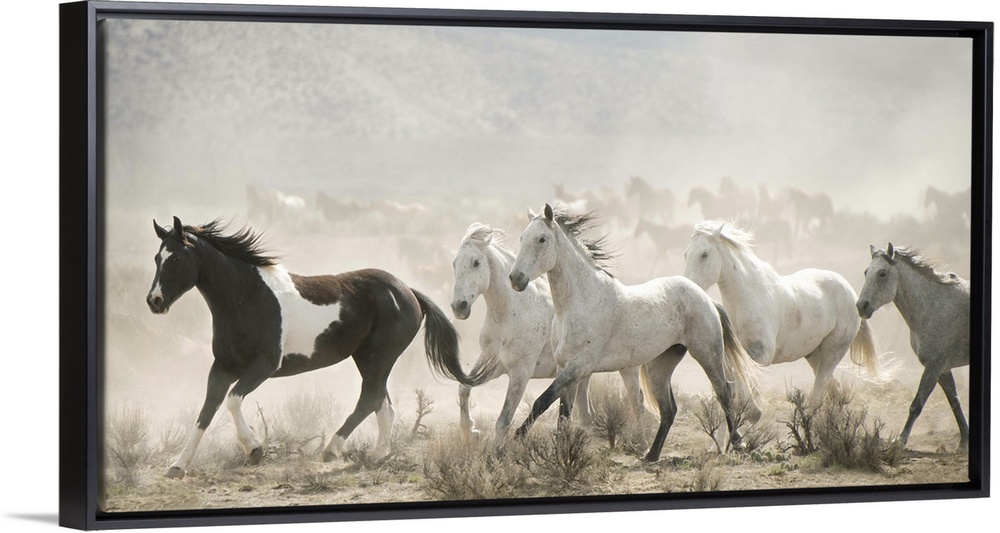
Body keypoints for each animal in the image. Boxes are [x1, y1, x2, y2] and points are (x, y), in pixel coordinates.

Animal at [147, 216, 492, 478]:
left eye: (176, 258)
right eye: (156, 258)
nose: (154, 301)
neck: (247, 297)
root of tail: (407, 291)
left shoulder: (264, 365)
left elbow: (232, 401)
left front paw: (254, 449)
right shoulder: (222, 367)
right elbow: (206, 412)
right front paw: (178, 466)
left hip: (381, 356)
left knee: (370, 400)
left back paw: (332, 449)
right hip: (367, 358)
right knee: (384, 405)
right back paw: (377, 456)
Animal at [452, 222, 644, 438]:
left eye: (476, 262)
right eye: (454, 264)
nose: (459, 307)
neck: (511, 312)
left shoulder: (520, 372)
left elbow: (503, 420)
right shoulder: (492, 360)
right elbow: (463, 387)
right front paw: (470, 430)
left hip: (627, 368)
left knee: (637, 402)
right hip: (581, 373)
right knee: (586, 413)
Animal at [508, 205, 756, 462]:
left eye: (541, 239)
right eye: (522, 238)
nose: (516, 279)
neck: (579, 302)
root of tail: (705, 296)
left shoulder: (578, 366)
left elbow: (543, 401)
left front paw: (515, 439)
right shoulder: (565, 368)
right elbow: (563, 413)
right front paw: (561, 451)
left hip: (707, 354)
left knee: (724, 392)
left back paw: (737, 444)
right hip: (660, 366)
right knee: (669, 409)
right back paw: (651, 455)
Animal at [684, 219, 888, 404]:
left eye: (704, 254)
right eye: (686, 253)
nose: (688, 286)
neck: (749, 297)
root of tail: (852, 294)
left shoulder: (761, 355)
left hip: (833, 352)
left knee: (819, 389)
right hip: (814, 354)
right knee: (833, 388)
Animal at [860, 244, 968, 448]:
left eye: (882, 273)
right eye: (866, 272)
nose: (861, 306)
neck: (935, 306)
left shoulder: (934, 367)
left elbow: (917, 404)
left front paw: (900, 440)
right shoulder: (942, 369)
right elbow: (954, 402)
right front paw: (965, 441)